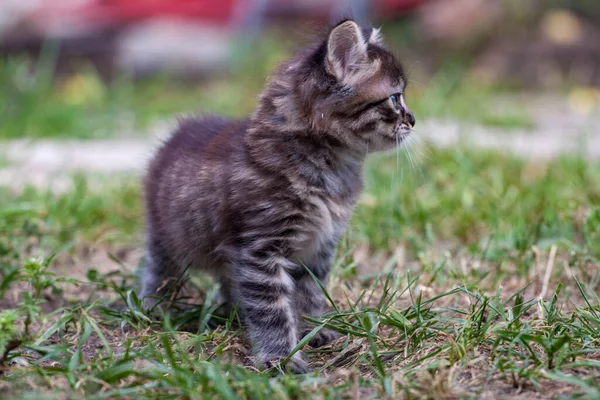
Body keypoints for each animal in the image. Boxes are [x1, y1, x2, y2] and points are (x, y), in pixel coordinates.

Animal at [142, 18, 412, 374]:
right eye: (395, 98)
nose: (413, 120)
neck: (331, 168)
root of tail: (177, 134)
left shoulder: (317, 248)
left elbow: (309, 295)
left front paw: (312, 331)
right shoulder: (261, 249)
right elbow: (272, 310)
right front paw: (281, 357)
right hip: (166, 236)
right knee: (158, 269)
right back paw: (154, 307)